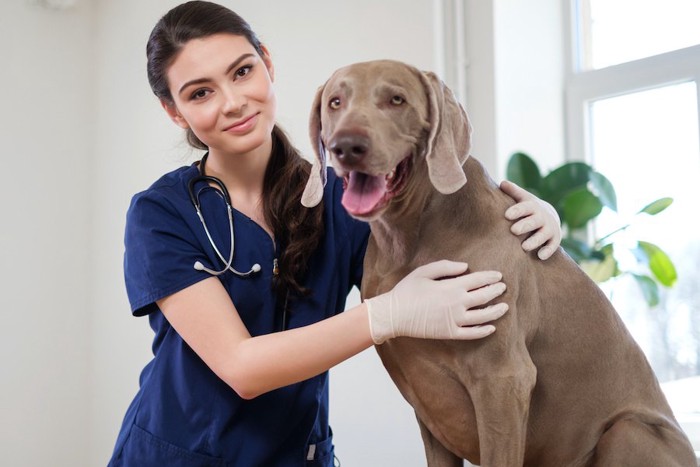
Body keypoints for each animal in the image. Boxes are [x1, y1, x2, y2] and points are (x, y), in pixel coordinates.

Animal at [300, 61, 696, 467]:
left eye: (397, 99)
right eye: (335, 102)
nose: (346, 146)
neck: (412, 234)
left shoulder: (503, 379)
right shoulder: (428, 404)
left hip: (627, 429)